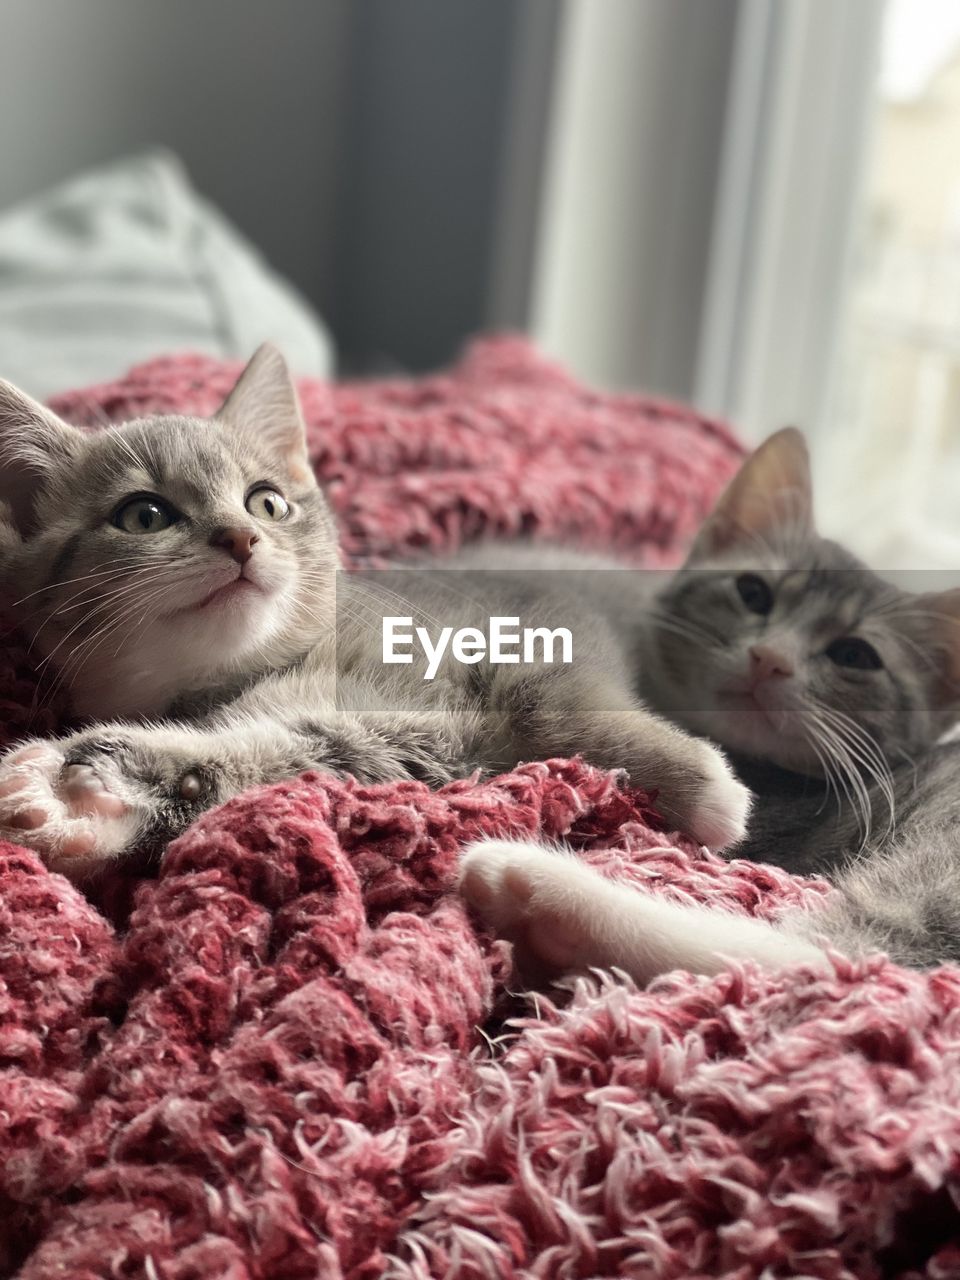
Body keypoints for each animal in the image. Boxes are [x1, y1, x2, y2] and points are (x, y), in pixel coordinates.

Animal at [0, 340, 747, 880]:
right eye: (144, 515)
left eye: (266, 502)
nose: (241, 537)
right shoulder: (410, 743)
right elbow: (288, 754)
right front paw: (84, 799)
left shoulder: (522, 642)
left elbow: (566, 704)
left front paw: (702, 784)